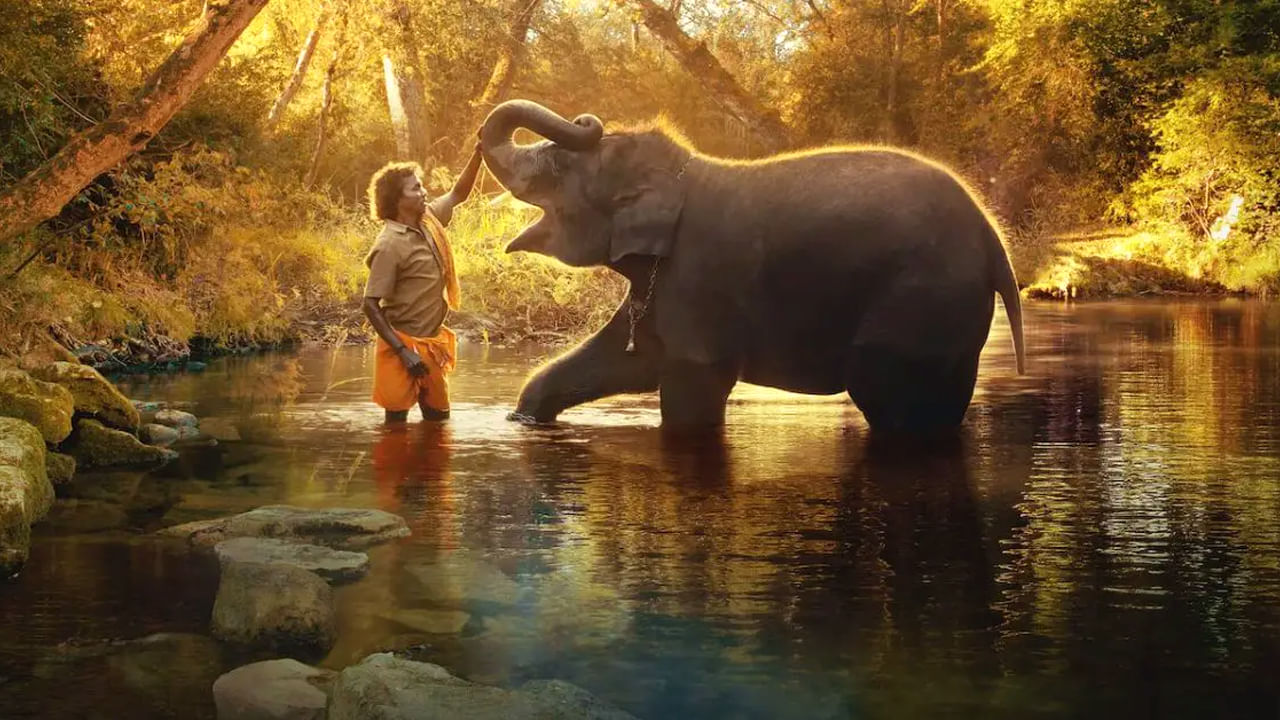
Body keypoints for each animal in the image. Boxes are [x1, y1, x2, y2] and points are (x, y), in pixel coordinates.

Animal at [479, 99, 1026, 433]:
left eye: (558, 168)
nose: (587, 120)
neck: (681, 174)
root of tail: (994, 241)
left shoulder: (699, 276)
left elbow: (692, 386)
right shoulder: (664, 282)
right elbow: (626, 359)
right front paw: (525, 418)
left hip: (920, 299)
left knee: (889, 397)